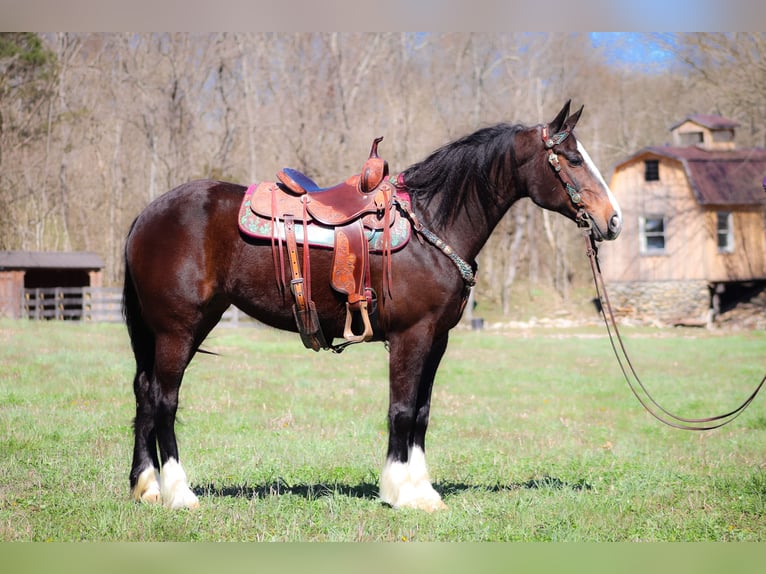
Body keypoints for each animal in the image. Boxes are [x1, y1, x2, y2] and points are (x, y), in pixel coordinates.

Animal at [121, 100, 624, 512]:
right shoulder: (410, 336)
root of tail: (146, 214)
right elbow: (400, 409)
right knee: (164, 400)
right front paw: (401, 491)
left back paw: (146, 487)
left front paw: (423, 490)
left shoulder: (436, 339)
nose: (613, 219)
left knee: (145, 392)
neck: (431, 223)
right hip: (179, 330)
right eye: (573, 159)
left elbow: (421, 412)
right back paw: (179, 493)